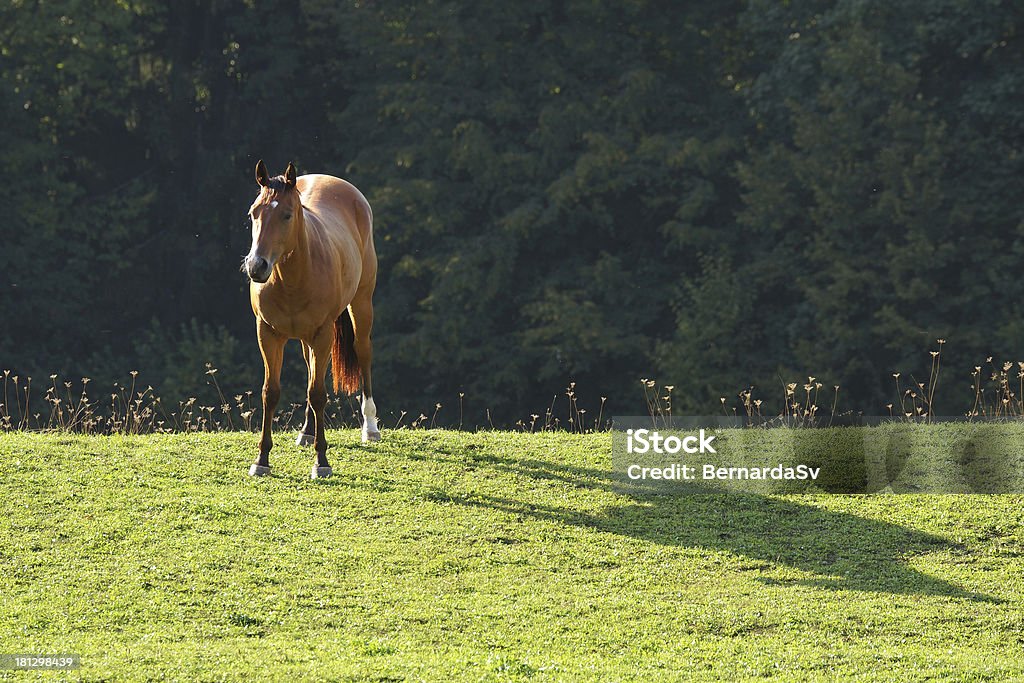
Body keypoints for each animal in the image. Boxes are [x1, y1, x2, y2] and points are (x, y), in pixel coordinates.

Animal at [242, 160, 380, 481]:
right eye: (254, 212)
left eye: (287, 214)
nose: (256, 266)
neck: (293, 278)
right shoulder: (267, 334)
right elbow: (271, 392)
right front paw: (262, 459)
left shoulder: (322, 333)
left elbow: (317, 394)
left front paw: (322, 461)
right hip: (308, 339)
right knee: (310, 369)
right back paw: (306, 431)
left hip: (361, 304)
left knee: (363, 352)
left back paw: (370, 427)